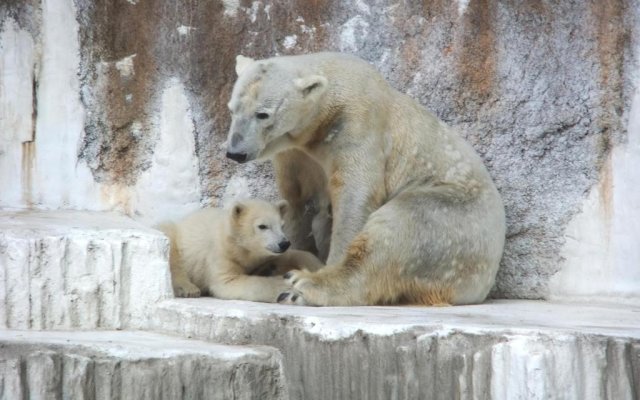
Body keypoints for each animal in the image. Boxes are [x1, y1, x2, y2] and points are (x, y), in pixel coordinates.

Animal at [225, 51, 504, 304]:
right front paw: (282, 254)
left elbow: (354, 196)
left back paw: (304, 285)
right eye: (232, 109)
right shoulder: (296, 154)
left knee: (399, 228)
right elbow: (298, 199)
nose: (235, 152)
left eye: (263, 114)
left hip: (455, 221)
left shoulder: (357, 123)